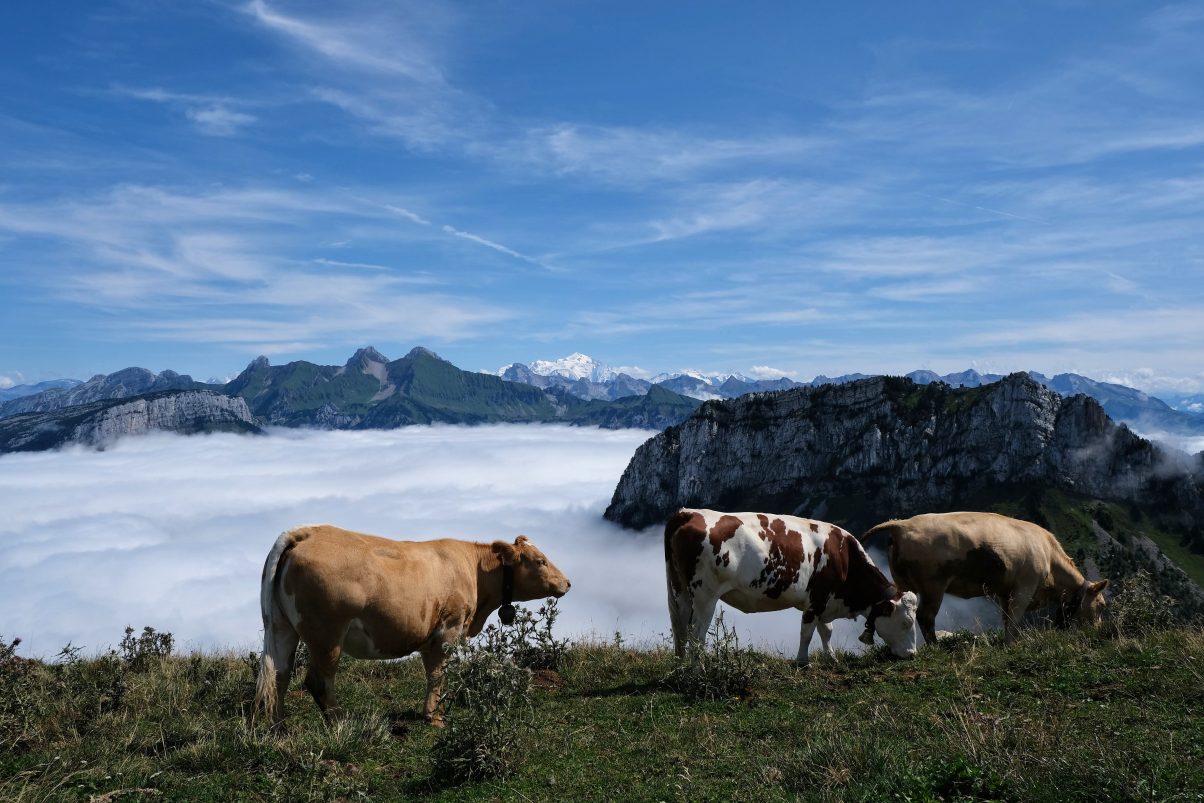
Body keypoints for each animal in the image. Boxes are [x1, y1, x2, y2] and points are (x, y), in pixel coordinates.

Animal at [252, 524, 568, 727]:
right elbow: (437, 674)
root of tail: (306, 531)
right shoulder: (448, 629)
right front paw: (434, 717)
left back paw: (278, 727)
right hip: (327, 634)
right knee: (317, 680)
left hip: (281, 627)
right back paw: (341, 722)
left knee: (279, 675)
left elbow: (433, 673)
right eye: (540, 560)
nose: (567, 582)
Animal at [664, 508, 915, 664]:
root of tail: (689, 512)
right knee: (697, 633)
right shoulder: (816, 599)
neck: (844, 556)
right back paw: (697, 670)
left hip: (681, 591)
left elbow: (826, 631)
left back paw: (680, 667)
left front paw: (831, 658)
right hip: (705, 595)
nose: (912, 654)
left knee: (681, 630)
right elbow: (807, 632)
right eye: (906, 623)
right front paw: (802, 661)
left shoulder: (824, 601)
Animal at [866, 515, 1107, 645]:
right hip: (933, 585)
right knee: (926, 617)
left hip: (902, 582)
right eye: (1102, 605)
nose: (1099, 629)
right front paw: (1011, 644)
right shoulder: (1025, 587)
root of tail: (902, 524)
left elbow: (1006, 618)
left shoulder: (1005, 592)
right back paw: (935, 647)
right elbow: (1014, 619)